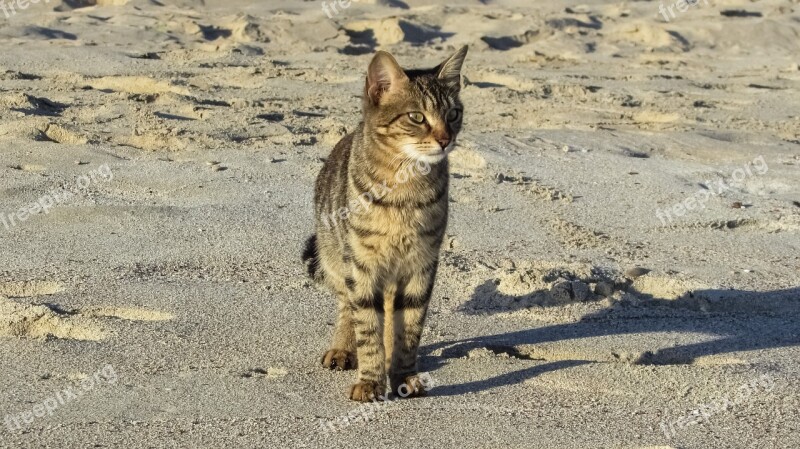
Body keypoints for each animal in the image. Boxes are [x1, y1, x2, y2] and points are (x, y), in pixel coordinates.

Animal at [304, 46, 468, 402]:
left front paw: (403, 376)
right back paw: (342, 348)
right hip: (336, 258)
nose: (445, 139)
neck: (405, 191)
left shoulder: (422, 264)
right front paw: (370, 380)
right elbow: (367, 325)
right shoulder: (362, 265)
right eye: (416, 117)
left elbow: (409, 327)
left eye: (453, 114)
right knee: (347, 305)